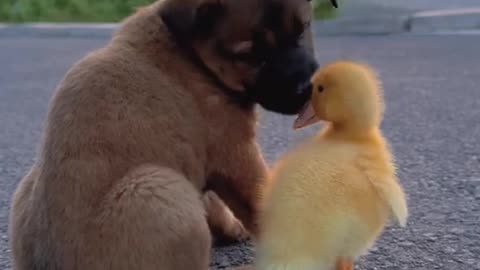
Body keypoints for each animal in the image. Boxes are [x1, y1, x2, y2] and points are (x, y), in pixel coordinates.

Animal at [8, 0, 338, 270]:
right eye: (249, 55)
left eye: (302, 30)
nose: (306, 90)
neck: (193, 57)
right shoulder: (234, 151)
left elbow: (217, 204)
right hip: (162, 189)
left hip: (27, 186)